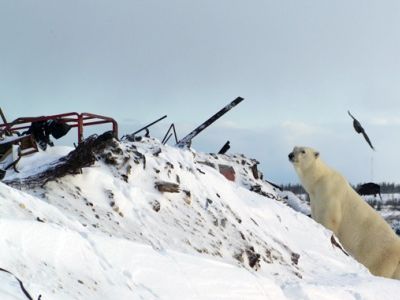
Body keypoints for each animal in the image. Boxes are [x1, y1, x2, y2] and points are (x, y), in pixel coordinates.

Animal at [288, 146, 400, 280]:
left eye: (303, 151)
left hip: (380, 255)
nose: (290, 155)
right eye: (294, 148)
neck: (319, 180)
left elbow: (330, 219)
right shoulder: (315, 200)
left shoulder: (330, 193)